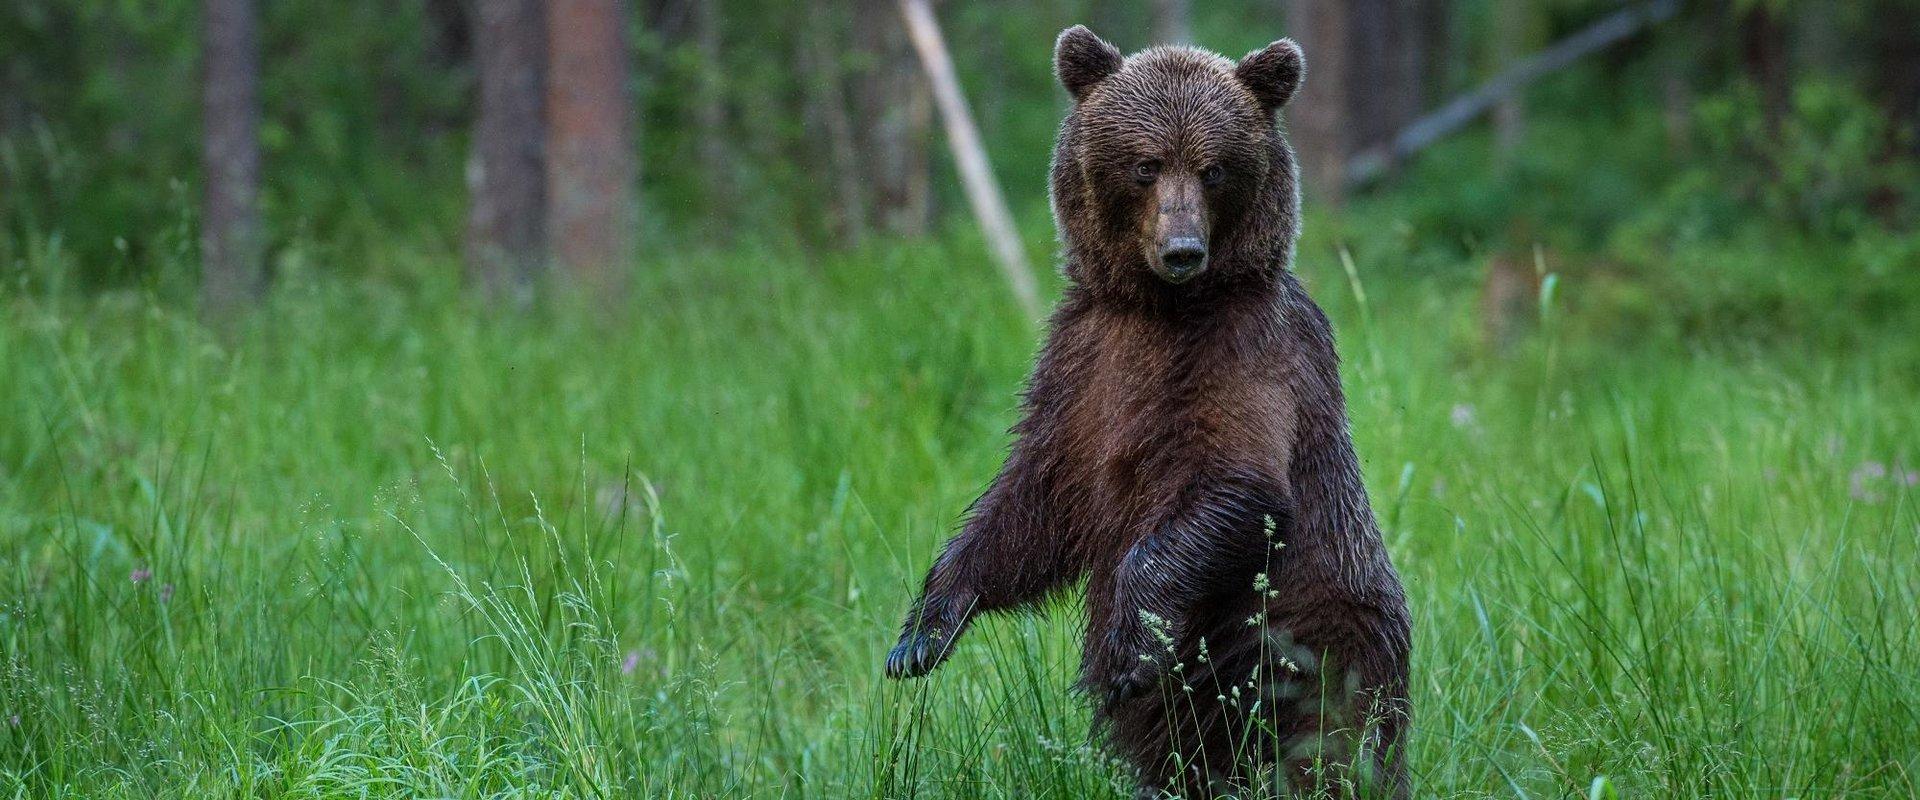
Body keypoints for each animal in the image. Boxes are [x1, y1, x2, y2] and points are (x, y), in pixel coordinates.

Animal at [883, 26, 1413, 798]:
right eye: (1145, 164)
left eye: (1214, 169)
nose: (1183, 249)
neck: (1160, 308)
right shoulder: (1083, 365)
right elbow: (1031, 503)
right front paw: (923, 632)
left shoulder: (1247, 352)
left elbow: (1235, 482)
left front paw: (1125, 652)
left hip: (1306, 640)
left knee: (1327, 740)